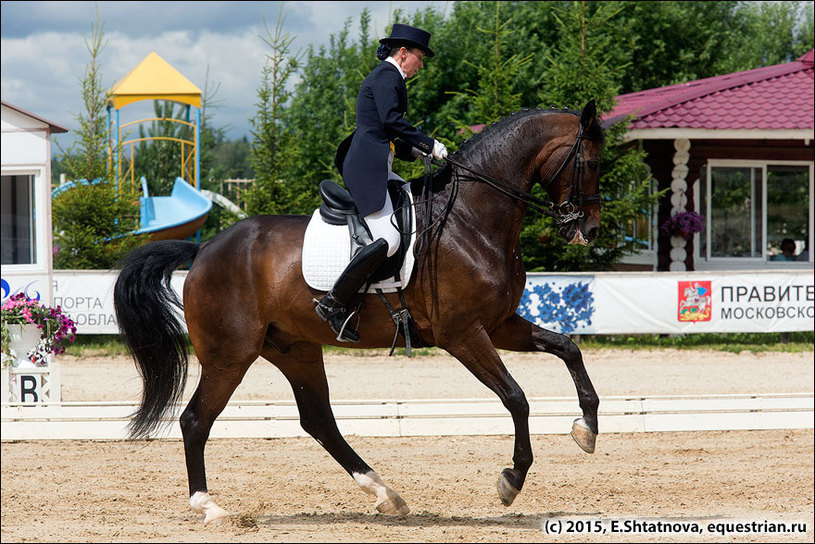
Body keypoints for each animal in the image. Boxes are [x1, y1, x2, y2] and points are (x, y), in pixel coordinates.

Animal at [116, 100, 604, 524]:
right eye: (591, 162)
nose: (589, 228)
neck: (471, 220)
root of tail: (203, 250)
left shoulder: (499, 324)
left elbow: (568, 348)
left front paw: (587, 428)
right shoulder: (462, 334)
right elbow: (516, 397)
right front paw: (512, 479)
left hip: (294, 349)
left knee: (318, 420)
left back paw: (386, 494)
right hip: (230, 355)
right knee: (196, 419)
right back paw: (210, 507)